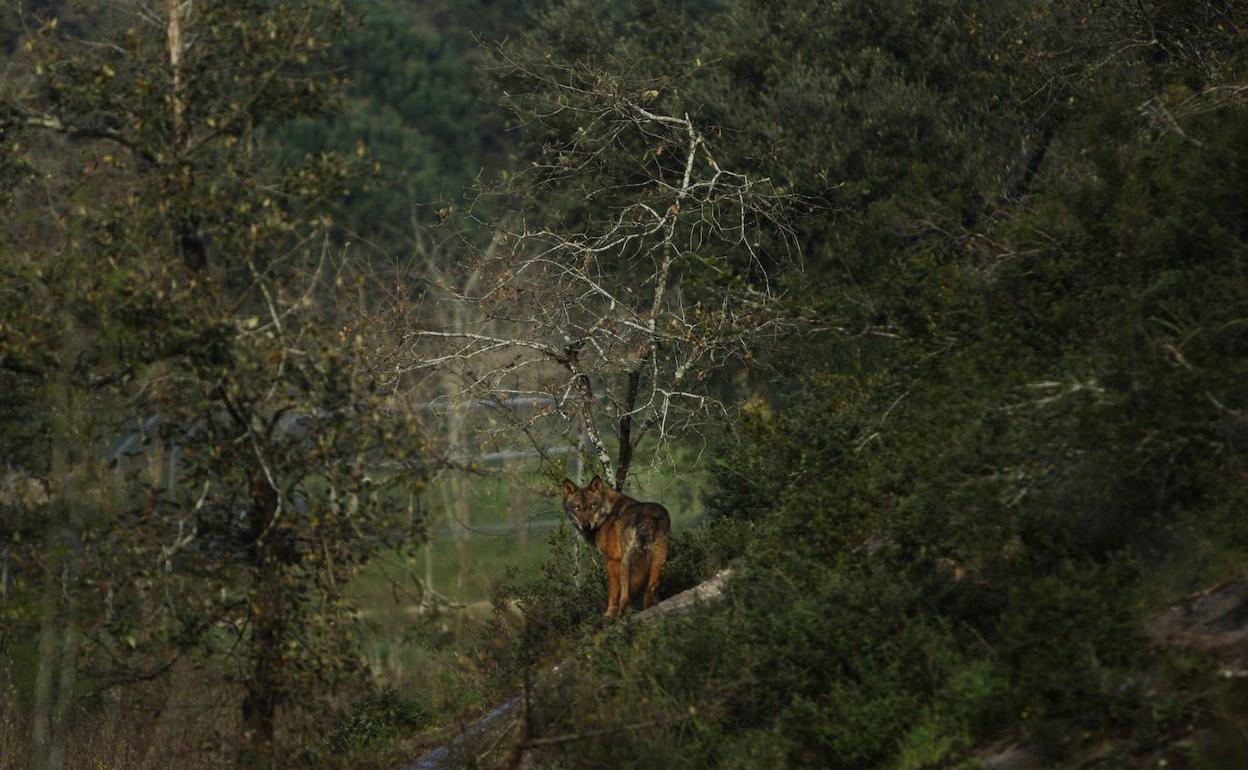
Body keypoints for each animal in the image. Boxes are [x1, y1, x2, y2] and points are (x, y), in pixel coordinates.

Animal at [561, 475, 671, 617]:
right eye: (577, 508)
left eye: (592, 505)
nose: (585, 526)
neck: (607, 515)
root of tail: (648, 519)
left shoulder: (611, 561)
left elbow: (613, 592)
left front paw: (608, 614)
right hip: (658, 562)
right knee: (649, 590)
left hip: (626, 565)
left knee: (626, 595)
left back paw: (621, 617)